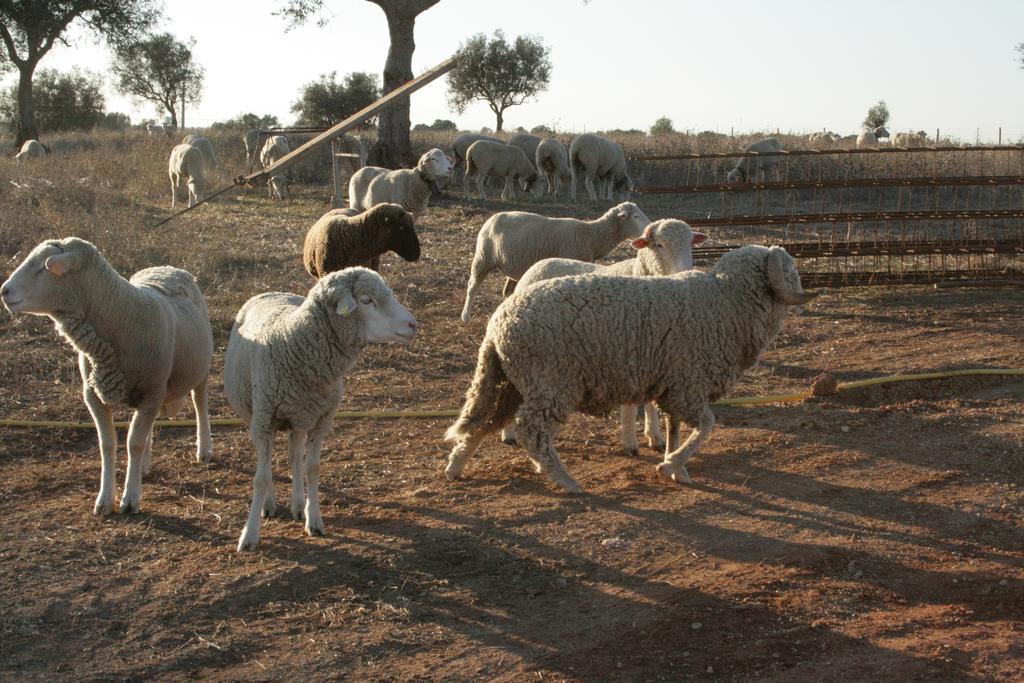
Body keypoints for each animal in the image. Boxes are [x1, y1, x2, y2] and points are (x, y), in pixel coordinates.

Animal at [1, 237, 214, 516]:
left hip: (199, 370)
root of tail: (169, 267)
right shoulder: (94, 395)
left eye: (42, 268)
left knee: (200, 404)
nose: (4, 292)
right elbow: (108, 444)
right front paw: (105, 499)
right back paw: (143, 466)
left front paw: (130, 498)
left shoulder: (150, 392)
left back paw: (204, 447)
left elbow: (133, 443)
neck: (120, 314)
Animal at [224, 266, 415, 548]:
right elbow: (262, 477)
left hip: (300, 417)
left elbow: (312, 468)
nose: (413, 325)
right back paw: (269, 504)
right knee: (268, 462)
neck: (293, 344)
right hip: (255, 414)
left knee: (294, 455)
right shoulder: (264, 419)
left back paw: (297, 503)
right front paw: (249, 534)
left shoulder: (322, 419)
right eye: (367, 301)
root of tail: (271, 291)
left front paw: (313, 519)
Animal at [444, 244, 819, 491]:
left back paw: (455, 467)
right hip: (549, 383)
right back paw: (566, 481)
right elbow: (706, 426)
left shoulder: (674, 383)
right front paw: (670, 465)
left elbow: (674, 428)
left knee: (486, 422)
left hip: (511, 382)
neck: (726, 302)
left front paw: (677, 467)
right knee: (529, 430)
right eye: (791, 270)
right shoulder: (689, 383)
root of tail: (496, 326)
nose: (804, 304)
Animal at [458, 200, 647, 323]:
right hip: (483, 257)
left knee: (507, 291)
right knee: (472, 286)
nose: (649, 228)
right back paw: (466, 316)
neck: (591, 235)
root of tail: (492, 217)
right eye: (636, 216)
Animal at [507, 219, 708, 454]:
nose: (686, 272)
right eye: (659, 245)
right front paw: (630, 443)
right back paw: (509, 434)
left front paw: (655, 436)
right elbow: (631, 405)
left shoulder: (654, 351)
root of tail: (540, 264)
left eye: (691, 243)